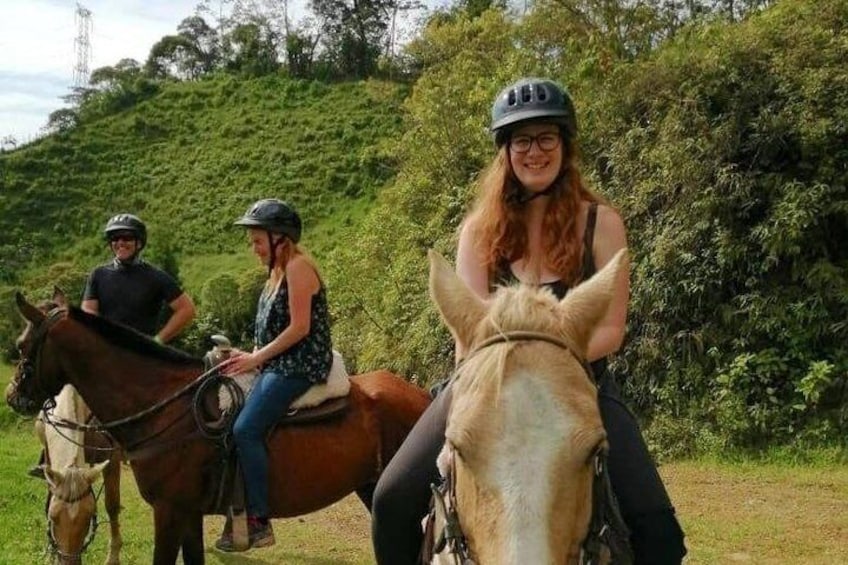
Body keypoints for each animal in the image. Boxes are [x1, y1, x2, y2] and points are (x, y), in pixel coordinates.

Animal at [35, 384, 122, 564]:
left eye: (89, 517)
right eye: (53, 518)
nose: (69, 561)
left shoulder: (112, 458)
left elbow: (112, 506)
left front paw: (113, 557)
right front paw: (50, 552)